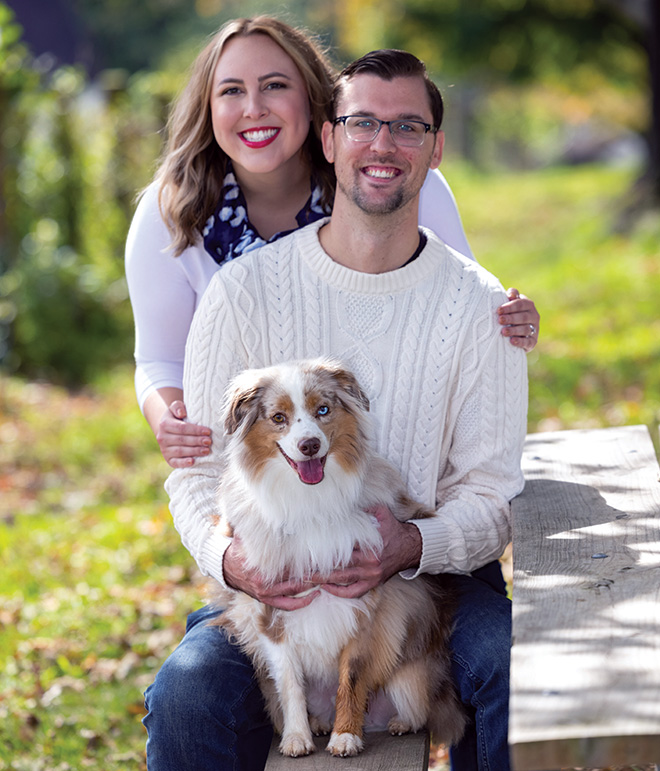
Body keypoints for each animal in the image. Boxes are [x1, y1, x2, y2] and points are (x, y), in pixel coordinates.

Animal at [209, 358, 466, 756]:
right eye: (279, 417)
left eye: (323, 410)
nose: (310, 445)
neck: (309, 502)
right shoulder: (268, 610)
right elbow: (290, 683)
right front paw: (296, 737)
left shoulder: (366, 608)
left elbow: (352, 677)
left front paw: (345, 735)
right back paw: (316, 723)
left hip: (408, 678)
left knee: (418, 710)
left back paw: (397, 722)